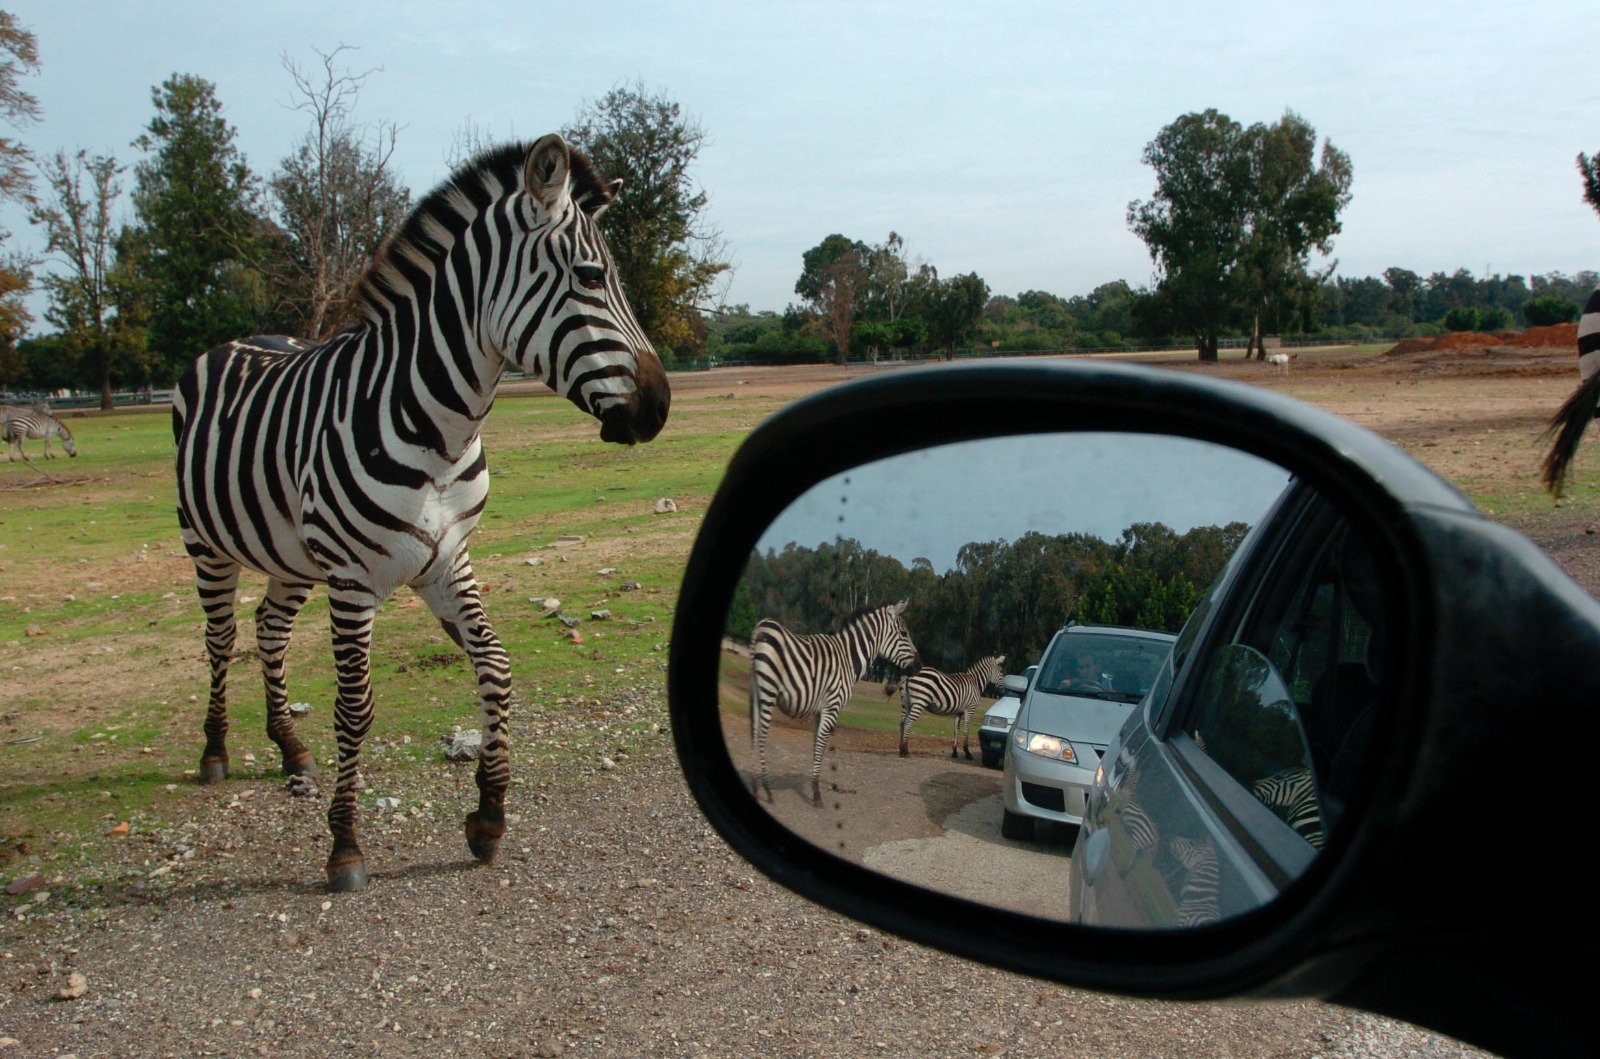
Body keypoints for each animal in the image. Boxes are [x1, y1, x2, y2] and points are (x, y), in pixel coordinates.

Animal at [172, 135, 672, 895]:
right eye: (591, 277)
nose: (660, 407)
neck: (442, 431)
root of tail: (234, 341)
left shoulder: (447, 560)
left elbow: (496, 666)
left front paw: (489, 818)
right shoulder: (353, 580)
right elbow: (355, 708)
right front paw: (345, 846)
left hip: (291, 552)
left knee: (269, 629)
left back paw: (289, 749)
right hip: (206, 540)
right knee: (221, 637)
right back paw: (215, 751)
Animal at [752, 601, 928, 809]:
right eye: (903, 633)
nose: (919, 666)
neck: (848, 659)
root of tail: (762, 625)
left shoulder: (819, 710)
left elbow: (816, 745)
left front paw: (815, 786)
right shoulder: (832, 707)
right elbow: (821, 745)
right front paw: (817, 794)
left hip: (757, 690)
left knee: (754, 731)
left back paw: (755, 785)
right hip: (767, 690)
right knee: (761, 734)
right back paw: (766, 789)